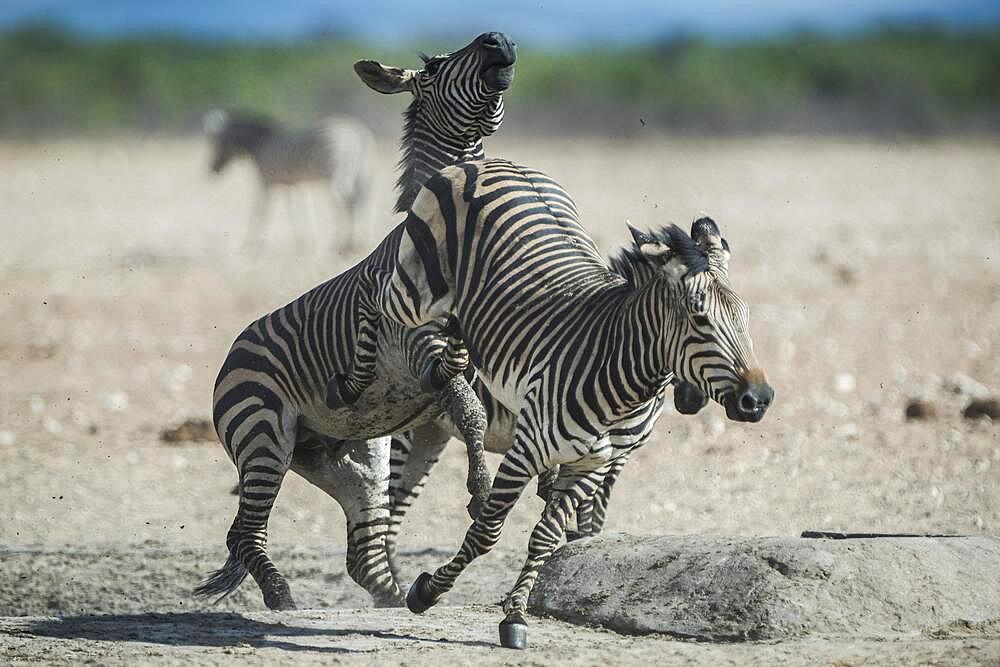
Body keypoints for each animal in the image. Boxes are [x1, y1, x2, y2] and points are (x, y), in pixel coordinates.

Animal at [203, 108, 376, 252]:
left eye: (217, 144)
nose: (212, 170)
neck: (261, 145)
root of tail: (355, 131)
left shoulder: (265, 182)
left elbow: (260, 211)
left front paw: (247, 245)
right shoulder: (291, 184)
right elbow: (297, 210)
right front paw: (305, 242)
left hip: (335, 173)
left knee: (344, 201)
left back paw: (339, 244)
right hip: (362, 173)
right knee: (361, 200)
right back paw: (360, 243)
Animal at [328, 159, 772, 648]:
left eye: (744, 316)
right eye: (699, 319)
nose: (758, 400)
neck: (622, 372)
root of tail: (490, 162)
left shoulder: (595, 463)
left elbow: (549, 535)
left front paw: (516, 615)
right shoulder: (529, 449)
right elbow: (490, 531)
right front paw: (427, 591)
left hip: (434, 417)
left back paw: (446, 374)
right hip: (416, 291)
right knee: (372, 290)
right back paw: (351, 384)